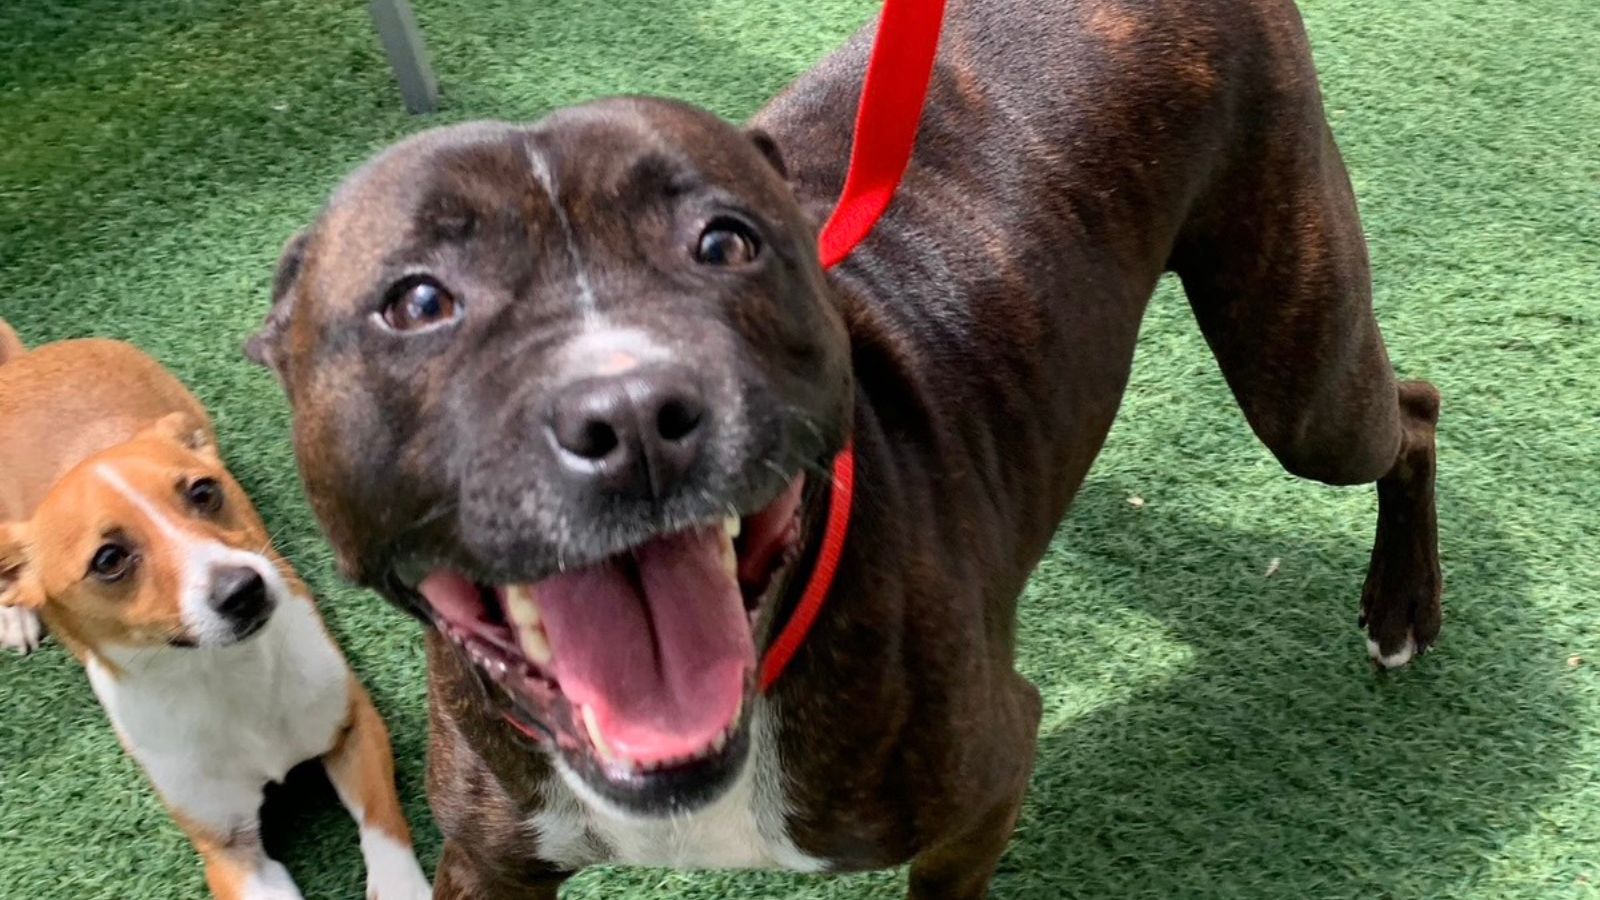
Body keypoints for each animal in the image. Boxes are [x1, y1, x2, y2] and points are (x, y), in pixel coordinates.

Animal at [0, 321, 432, 896]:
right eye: (108, 559)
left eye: (203, 491)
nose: (243, 590)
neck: (226, 675)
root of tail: (25, 362)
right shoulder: (229, 849)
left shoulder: (354, 728)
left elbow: (384, 833)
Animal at [246, 0, 1440, 890]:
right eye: (416, 302)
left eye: (726, 242)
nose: (630, 414)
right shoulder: (491, 859)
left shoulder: (985, 788)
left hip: (1299, 370)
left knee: (1413, 413)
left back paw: (1402, 604)